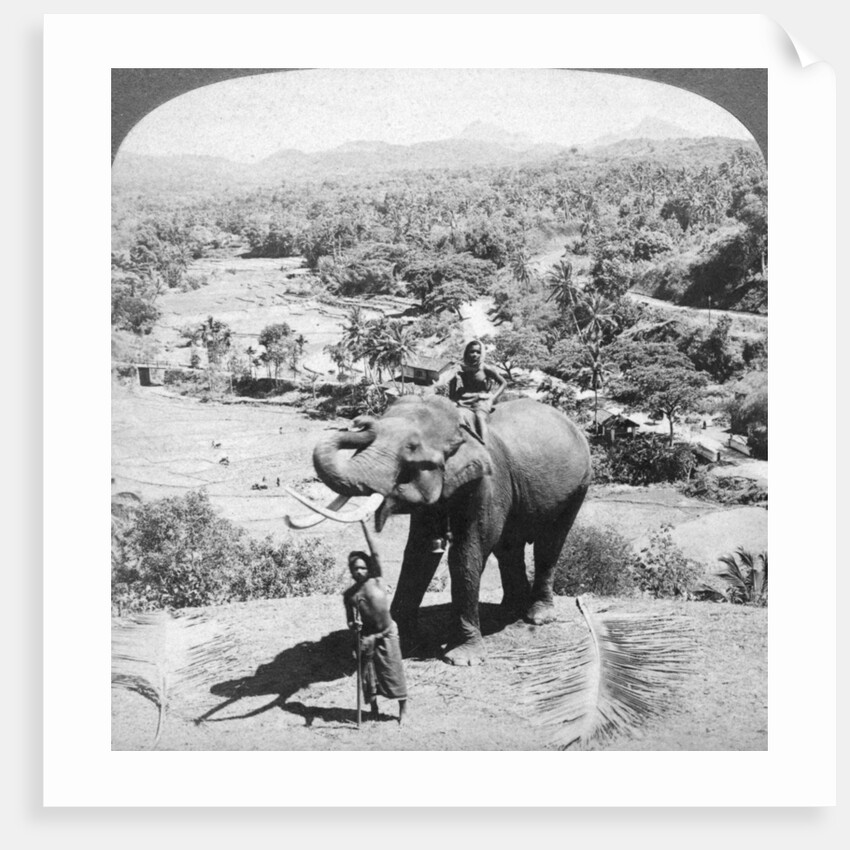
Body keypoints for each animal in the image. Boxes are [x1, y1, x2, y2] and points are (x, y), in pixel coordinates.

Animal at [290, 394, 592, 666]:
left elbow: (467, 553)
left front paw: (463, 659)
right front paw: (401, 640)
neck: (462, 425)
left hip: (579, 486)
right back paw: (507, 611)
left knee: (549, 544)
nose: (359, 421)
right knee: (509, 547)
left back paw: (537, 616)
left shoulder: (488, 480)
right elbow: (419, 553)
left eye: (411, 447)